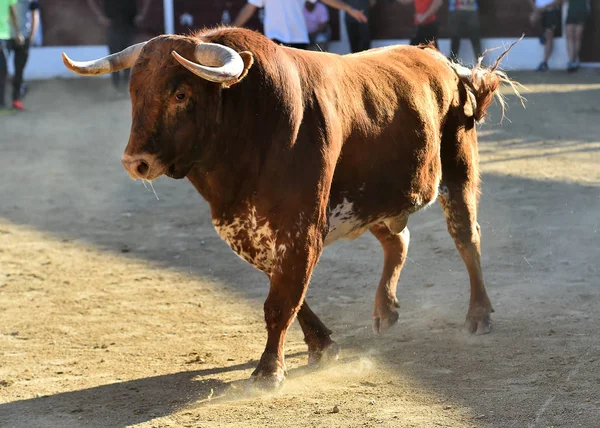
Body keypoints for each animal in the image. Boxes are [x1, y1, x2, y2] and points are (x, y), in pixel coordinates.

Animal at [62, 26, 520, 388]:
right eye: (135, 91)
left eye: (180, 92)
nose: (134, 162)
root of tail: (438, 59)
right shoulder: (250, 231)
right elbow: (289, 293)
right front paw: (323, 345)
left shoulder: (301, 228)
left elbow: (280, 302)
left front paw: (269, 371)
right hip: (371, 199)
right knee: (398, 240)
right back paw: (385, 310)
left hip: (458, 169)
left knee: (466, 238)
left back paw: (478, 315)